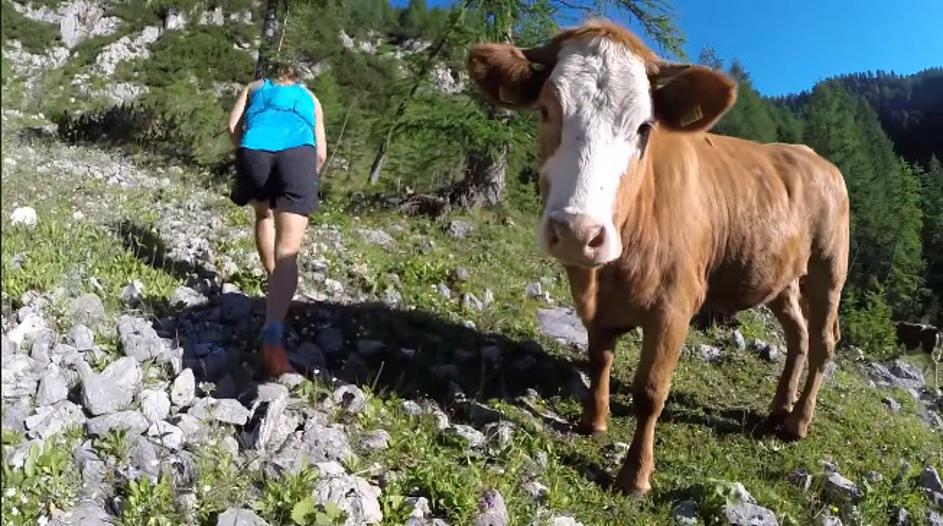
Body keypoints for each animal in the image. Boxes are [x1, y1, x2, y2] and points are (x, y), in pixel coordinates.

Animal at [466, 19, 850, 496]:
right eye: (546, 110)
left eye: (644, 127)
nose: (577, 232)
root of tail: (810, 155)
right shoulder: (594, 303)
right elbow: (600, 358)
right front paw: (594, 422)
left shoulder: (675, 305)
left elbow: (650, 391)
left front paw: (635, 475)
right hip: (779, 276)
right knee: (797, 335)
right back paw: (778, 410)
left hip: (829, 266)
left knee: (822, 341)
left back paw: (797, 423)